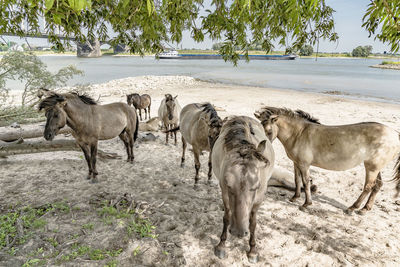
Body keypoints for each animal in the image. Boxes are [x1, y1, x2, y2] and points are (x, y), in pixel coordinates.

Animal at [212, 115, 276, 264]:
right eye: (228, 185)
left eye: (256, 186)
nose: (238, 232)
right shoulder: (225, 193)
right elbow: (227, 217)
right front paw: (221, 245)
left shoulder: (259, 199)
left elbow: (253, 223)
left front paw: (253, 251)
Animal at [255, 107, 400, 216]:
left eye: (268, 131)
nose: (262, 151)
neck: (299, 134)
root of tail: (395, 134)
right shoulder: (296, 163)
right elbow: (297, 180)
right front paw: (295, 197)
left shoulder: (304, 165)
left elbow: (306, 182)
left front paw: (306, 204)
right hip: (375, 167)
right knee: (377, 185)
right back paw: (365, 209)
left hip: (371, 168)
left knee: (368, 187)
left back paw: (352, 208)